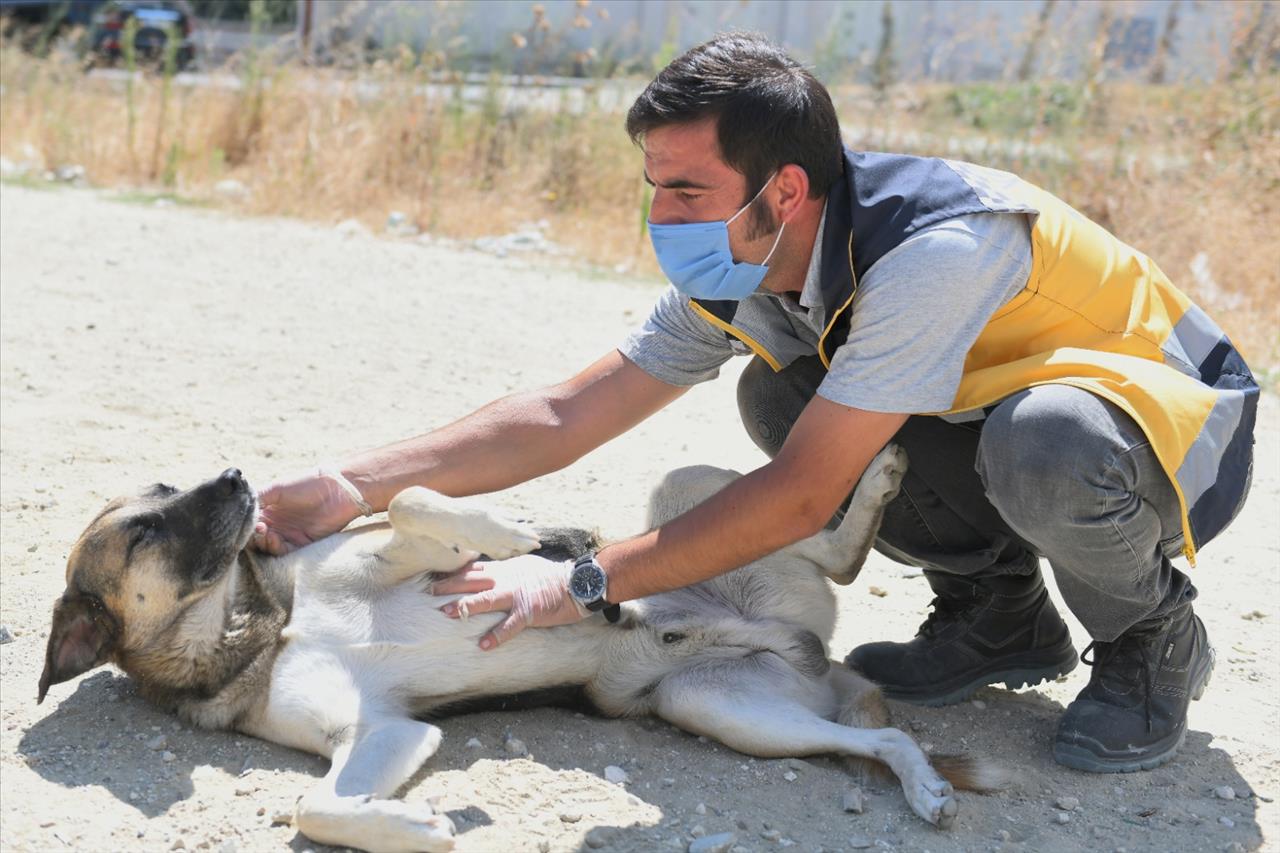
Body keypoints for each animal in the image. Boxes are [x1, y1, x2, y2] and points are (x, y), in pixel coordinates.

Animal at [37, 445, 998, 850]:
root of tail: (801, 646)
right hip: (723, 706)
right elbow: (316, 806)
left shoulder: (401, 547)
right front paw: (413, 827)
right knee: (882, 732)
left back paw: (875, 478)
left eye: (167, 483)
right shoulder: (384, 731)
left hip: (692, 499)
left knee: (828, 539)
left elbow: (420, 499)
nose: (239, 475)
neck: (261, 618)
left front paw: (520, 535)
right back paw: (924, 787)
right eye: (145, 527)